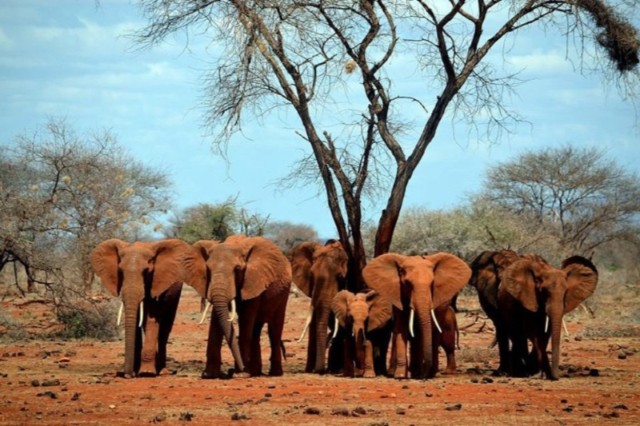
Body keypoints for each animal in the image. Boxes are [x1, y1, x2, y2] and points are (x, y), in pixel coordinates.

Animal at [90, 238, 204, 378]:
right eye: (120, 271)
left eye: (146, 271)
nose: (127, 375)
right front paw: (135, 370)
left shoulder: (155, 282)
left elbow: (151, 318)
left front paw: (146, 372)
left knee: (165, 328)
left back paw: (162, 370)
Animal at [192, 235, 291, 379]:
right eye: (208, 269)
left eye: (237, 269)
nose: (232, 370)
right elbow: (217, 319)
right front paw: (209, 375)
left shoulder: (253, 280)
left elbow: (246, 318)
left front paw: (241, 374)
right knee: (256, 329)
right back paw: (255, 372)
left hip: (284, 292)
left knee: (274, 329)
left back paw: (274, 373)